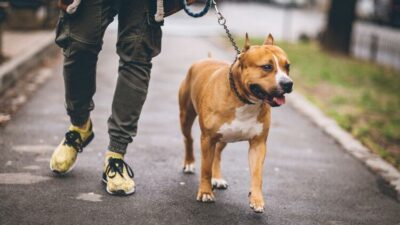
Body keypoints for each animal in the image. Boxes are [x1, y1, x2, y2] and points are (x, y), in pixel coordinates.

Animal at [180, 33, 292, 213]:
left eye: (287, 66)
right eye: (267, 67)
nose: (288, 83)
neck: (244, 100)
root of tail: (206, 59)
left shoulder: (258, 144)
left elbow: (257, 174)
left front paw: (257, 199)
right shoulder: (207, 139)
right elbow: (205, 168)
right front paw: (205, 192)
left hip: (223, 137)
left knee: (217, 154)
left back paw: (217, 178)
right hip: (186, 117)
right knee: (188, 139)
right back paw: (189, 163)